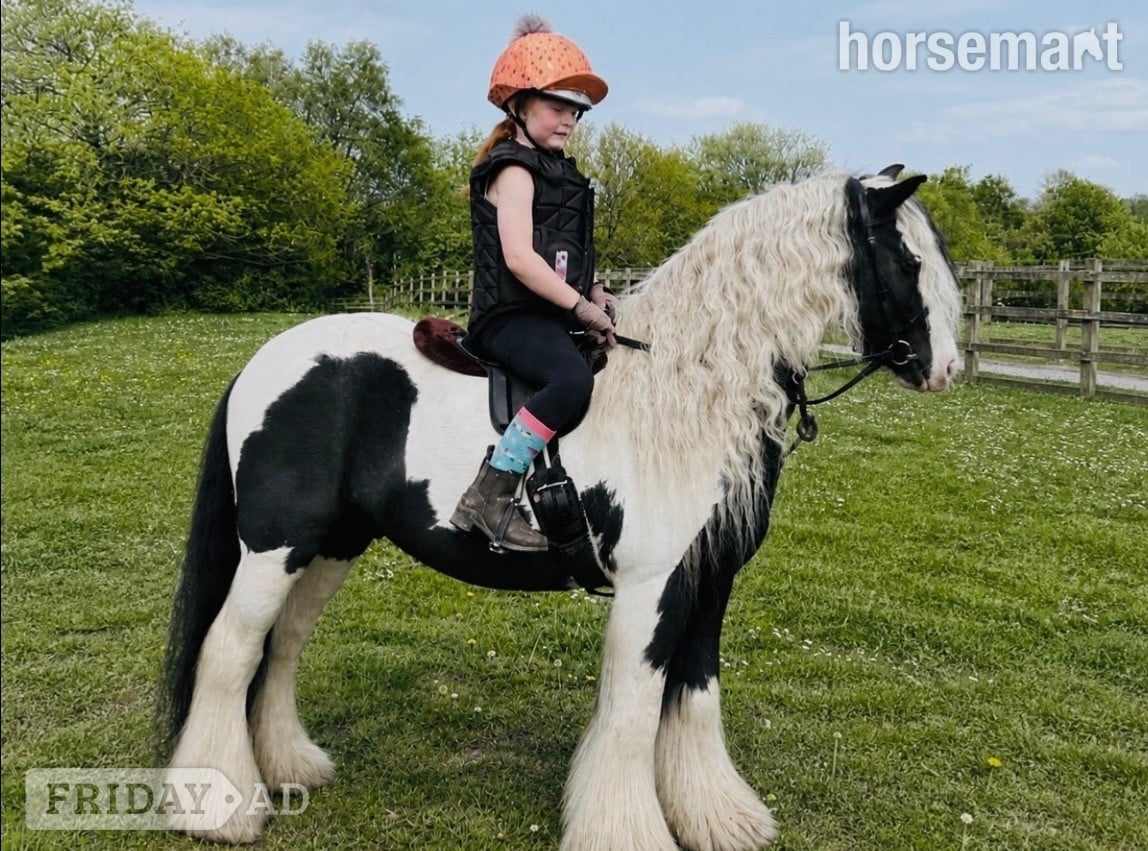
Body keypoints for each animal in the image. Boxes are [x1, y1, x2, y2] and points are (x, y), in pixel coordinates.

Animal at [158, 166, 962, 850]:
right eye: (906, 260)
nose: (947, 368)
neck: (687, 394)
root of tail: (263, 362)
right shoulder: (651, 585)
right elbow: (634, 712)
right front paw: (628, 830)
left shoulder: (710, 581)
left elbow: (695, 694)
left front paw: (717, 817)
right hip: (276, 545)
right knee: (230, 648)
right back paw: (220, 810)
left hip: (330, 544)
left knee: (282, 644)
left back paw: (290, 769)